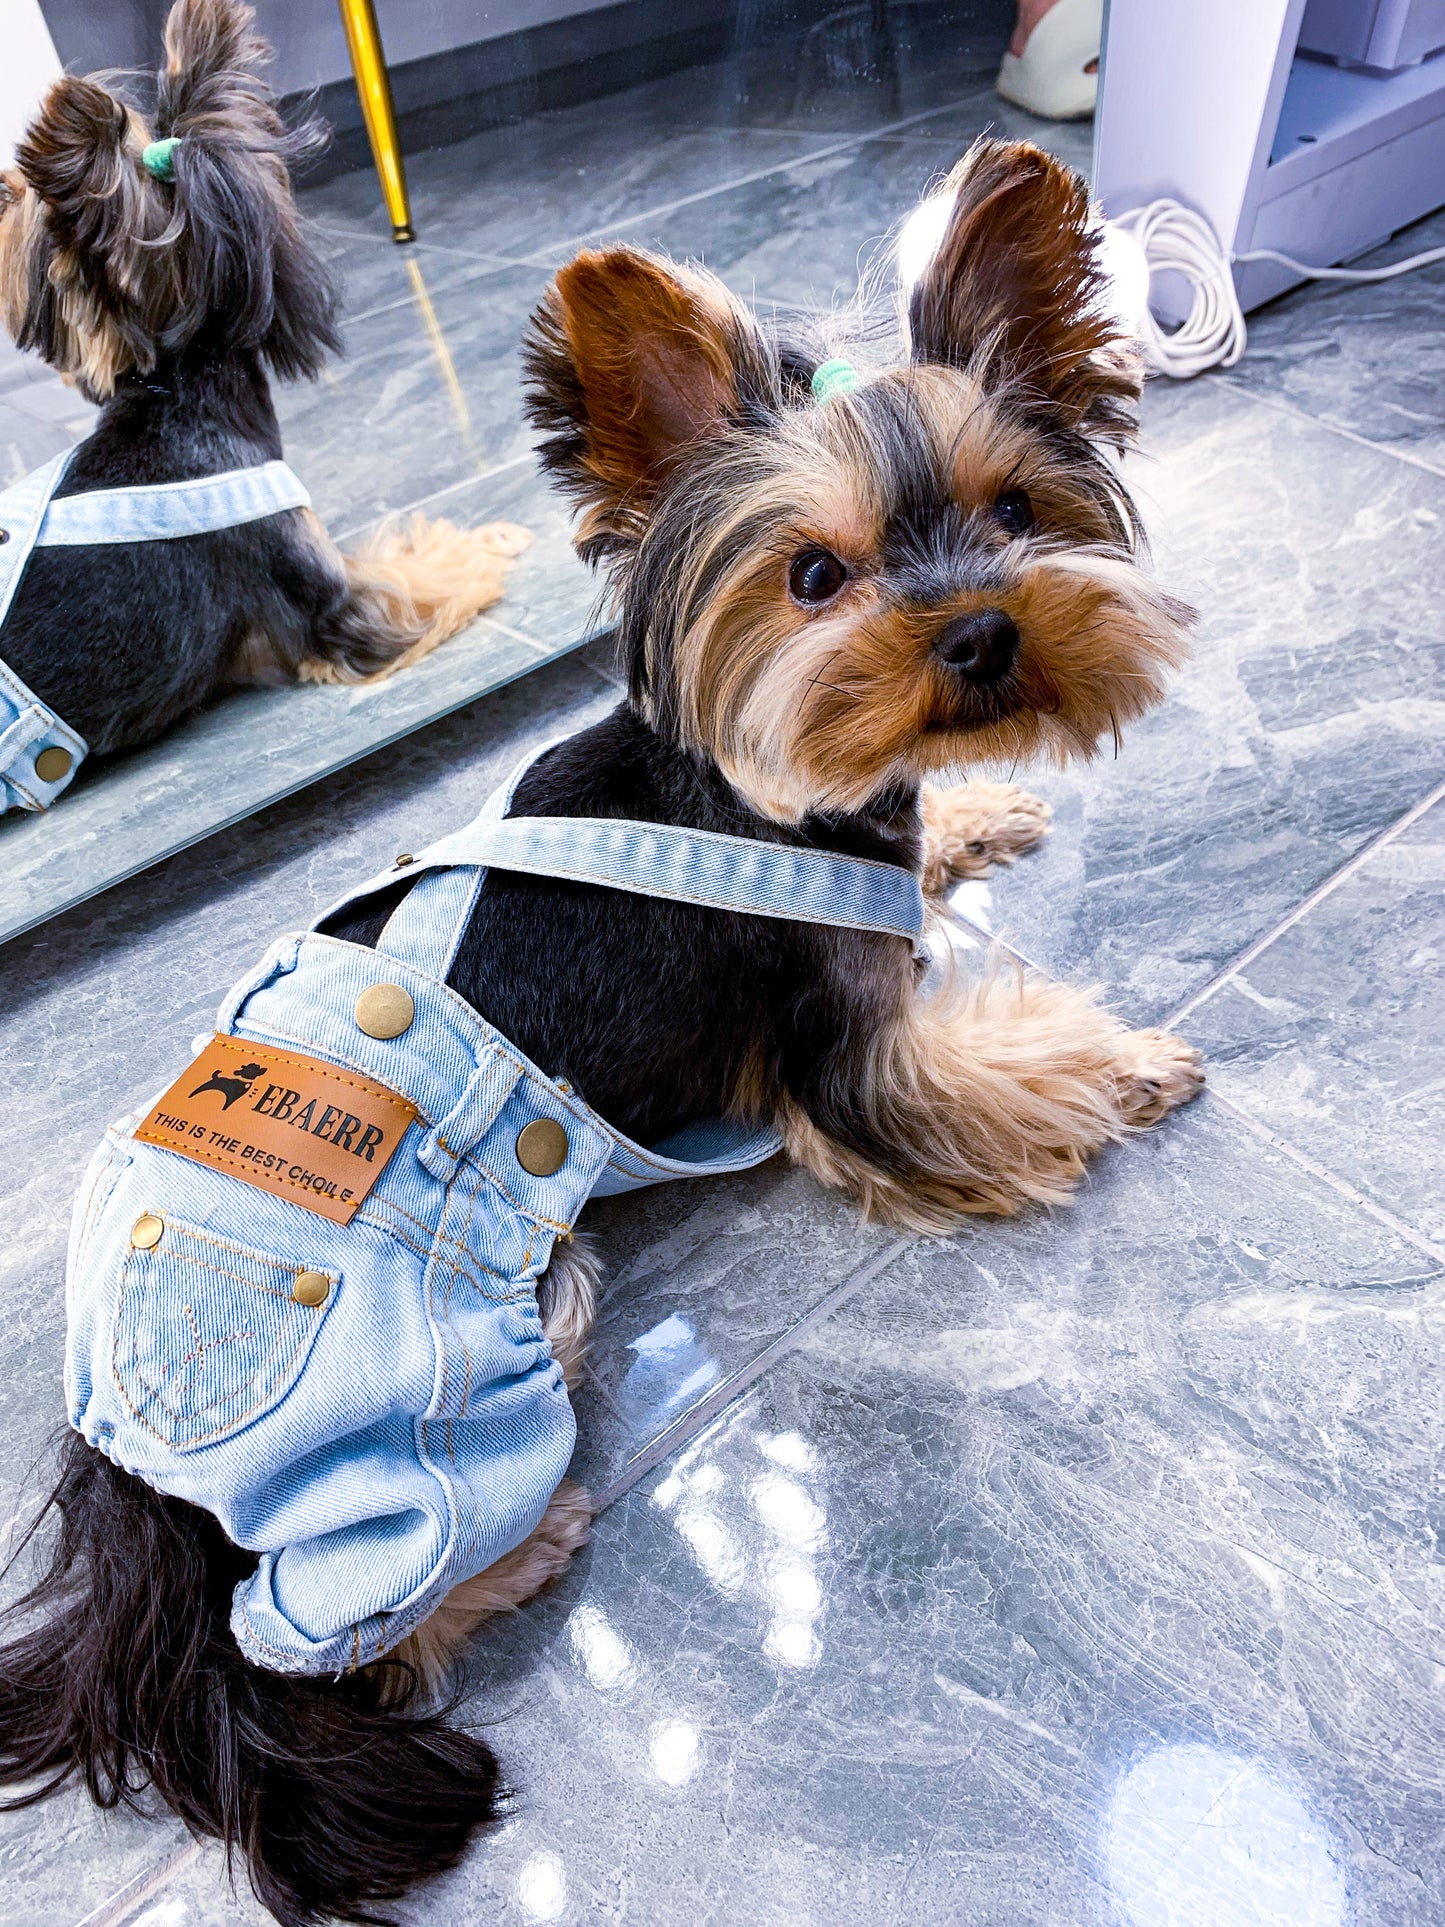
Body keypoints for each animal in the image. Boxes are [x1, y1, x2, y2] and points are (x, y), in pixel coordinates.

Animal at [0, 139, 1202, 1927]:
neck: (759, 783)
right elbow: (979, 1068)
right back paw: (526, 1551)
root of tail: (121, 1459)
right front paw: (1129, 1057)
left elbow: (927, 831)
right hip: (479, 1364)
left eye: (1015, 513)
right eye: (813, 575)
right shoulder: (852, 1058)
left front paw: (970, 815)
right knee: (325, 1634)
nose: (982, 636)